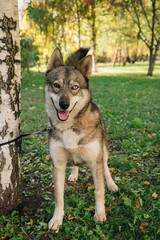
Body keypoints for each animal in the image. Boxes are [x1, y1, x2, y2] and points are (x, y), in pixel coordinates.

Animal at [44, 47, 118, 231]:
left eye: (75, 87)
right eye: (56, 85)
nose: (64, 104)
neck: (69, 126)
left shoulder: (95, 162)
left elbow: (99, 191)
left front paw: (100, 215)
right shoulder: (58, 164)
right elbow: (59, 196)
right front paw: (57, 219)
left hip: (103, 151)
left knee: (106, 166)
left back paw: (111, 184)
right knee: (76, 163)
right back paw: (74, 173)